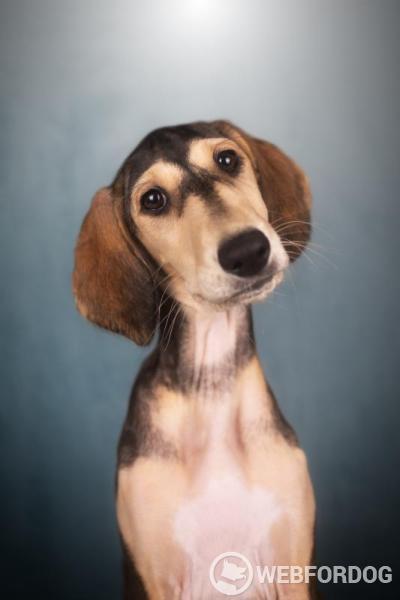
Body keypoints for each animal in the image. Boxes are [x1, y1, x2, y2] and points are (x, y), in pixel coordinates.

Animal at [73, 120, 316, 599]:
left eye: (227, 159)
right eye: (152, 200)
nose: (248, 251)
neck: (210, 386)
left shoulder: (292, 567)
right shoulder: (158, 573)